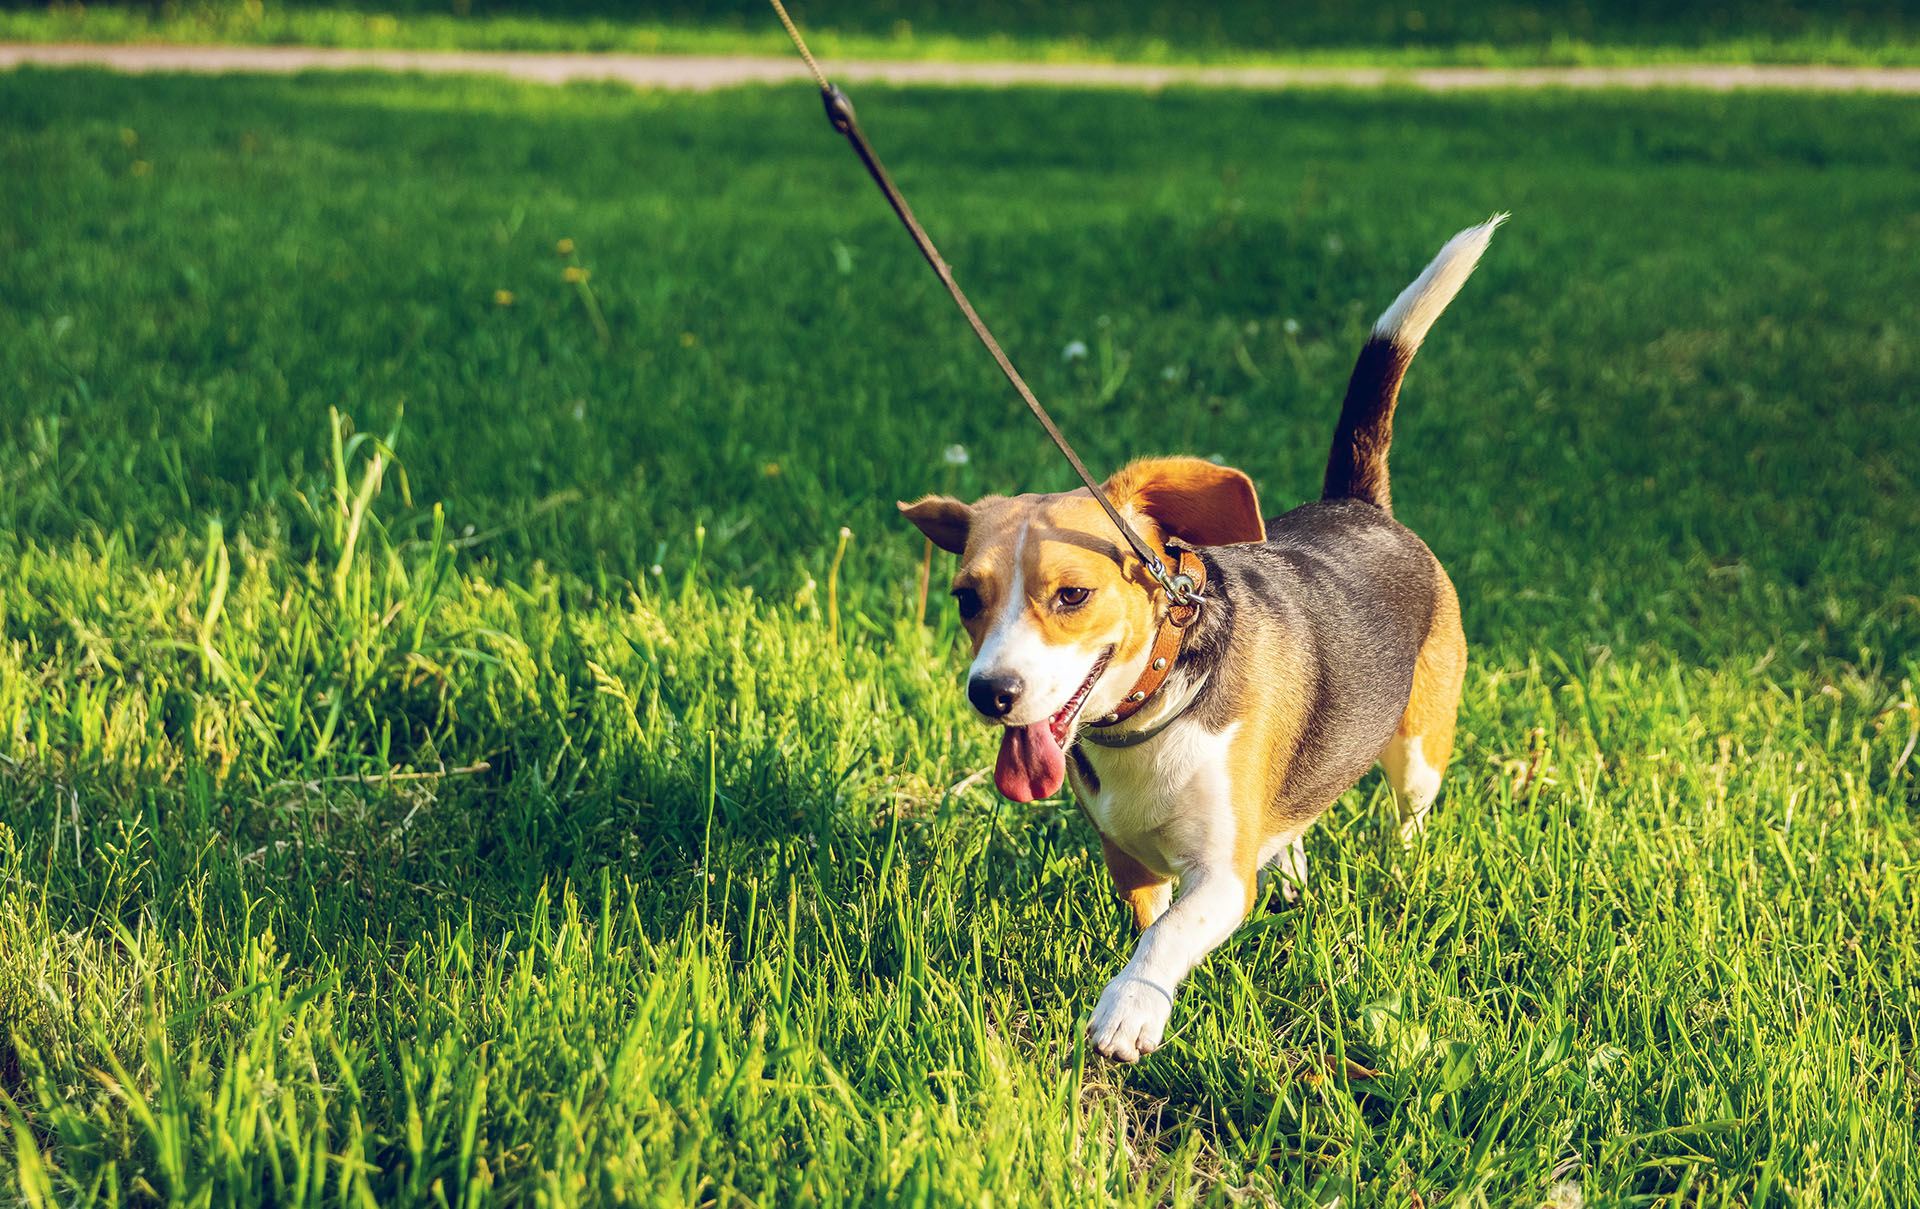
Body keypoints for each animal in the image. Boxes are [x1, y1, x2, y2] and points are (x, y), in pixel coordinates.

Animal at [898, 217, 1497, 1059]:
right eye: (964, 599)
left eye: (1072, 594)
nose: (991, 693)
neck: (1150, 711)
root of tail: (1357, 504)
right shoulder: (1128, 859)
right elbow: (1151, 919)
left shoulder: (1219, 873)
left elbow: (1170, 934)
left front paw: (1130, 1007)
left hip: (1419, 749)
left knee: (1408, 816)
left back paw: (1401, 873)